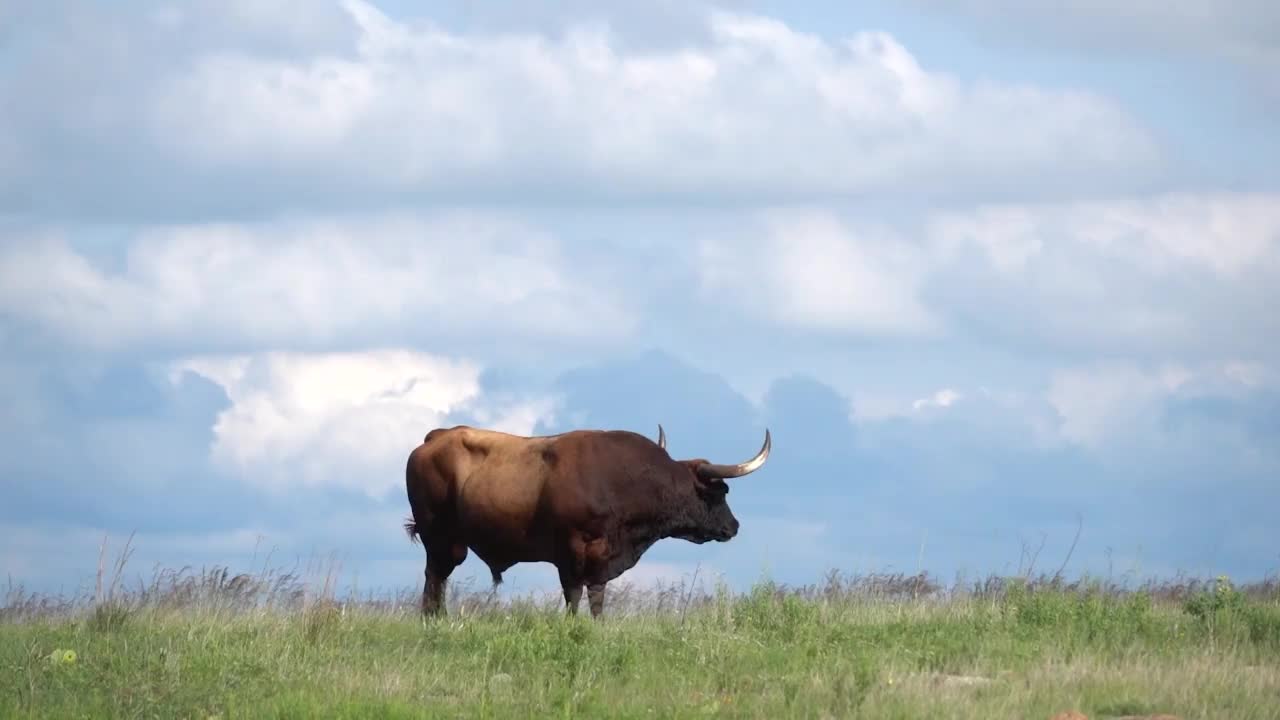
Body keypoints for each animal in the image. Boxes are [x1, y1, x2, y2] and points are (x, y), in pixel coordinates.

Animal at [401, 420, 768, 617]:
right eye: (720, 493)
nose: (733, 526)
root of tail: (436, 437)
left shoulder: (600, 559)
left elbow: (597, 596)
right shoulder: (575, 550)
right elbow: (575, 593)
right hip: (440, 538)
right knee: (434, 579)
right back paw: (433, 619)